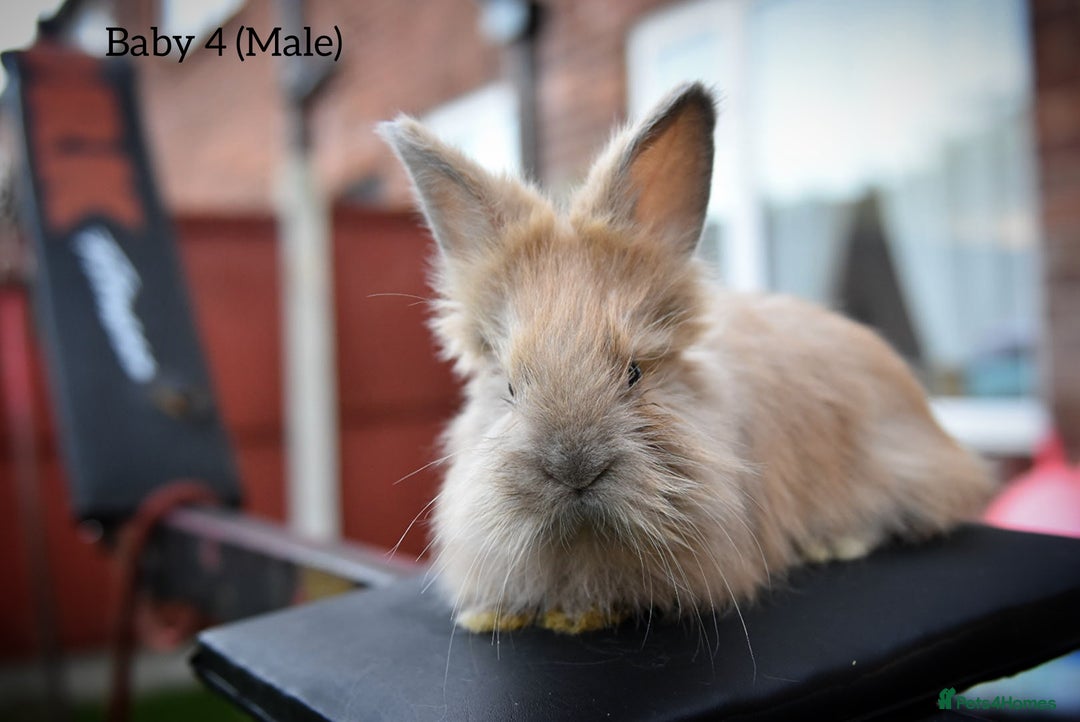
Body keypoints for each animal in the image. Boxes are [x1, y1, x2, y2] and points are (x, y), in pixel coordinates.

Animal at [378, 82, 997, 635]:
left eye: (635, 373)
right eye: (509, 386)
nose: (575, 468)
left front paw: (578, 615)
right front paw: (498, 616)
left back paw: (835, 543)